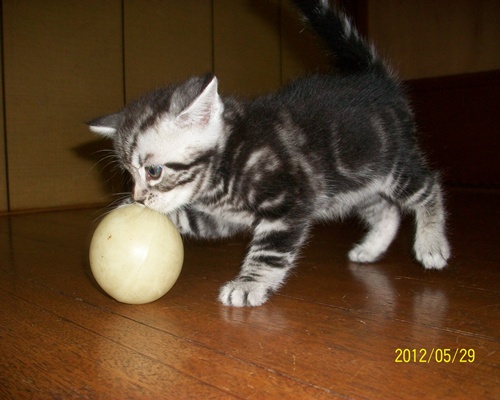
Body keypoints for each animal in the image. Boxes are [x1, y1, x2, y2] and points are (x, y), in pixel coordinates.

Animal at [88, 0, 450, 307]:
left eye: (153, 171)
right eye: (129, 174)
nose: (138, 199)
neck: (225, 165)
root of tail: (376, 80)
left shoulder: (287, 204)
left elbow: (268, 252)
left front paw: (248, 284)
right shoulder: (223, 218)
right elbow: (193, 220)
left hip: (391, 165)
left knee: (427, 186)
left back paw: (430, 244)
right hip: (355, 184)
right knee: (386, 210)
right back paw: (371, 248)